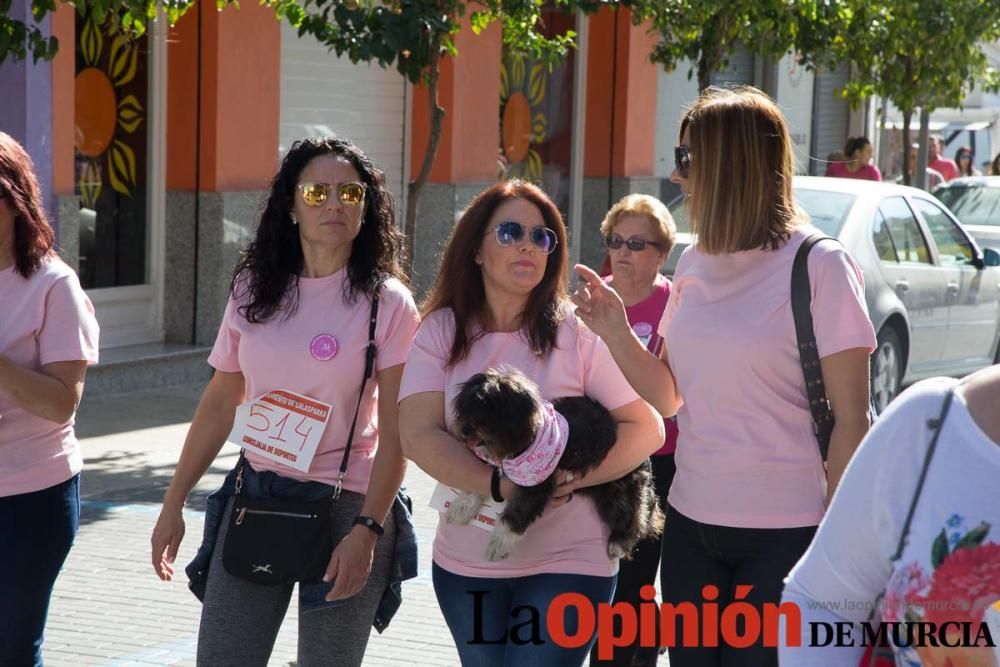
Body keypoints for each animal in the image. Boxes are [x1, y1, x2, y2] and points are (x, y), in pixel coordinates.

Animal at [448, 368, 664, 560]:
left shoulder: (538, 485)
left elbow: (515, 515)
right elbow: (480, 485)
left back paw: (618, 545)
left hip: (617, 491)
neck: (528, 438)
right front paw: (461, 506)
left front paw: (498, 544)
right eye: (468, 406)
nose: (465, 429)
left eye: (490, 408)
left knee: (634, 517)